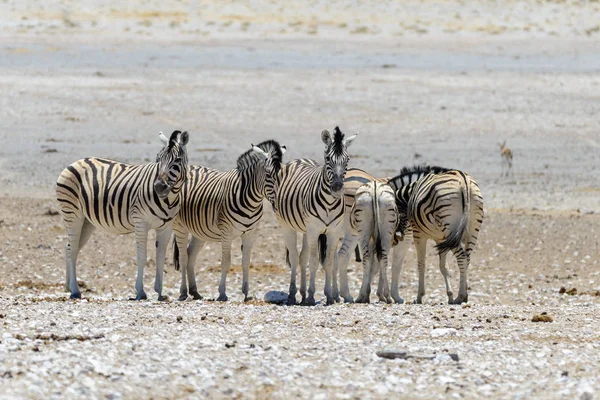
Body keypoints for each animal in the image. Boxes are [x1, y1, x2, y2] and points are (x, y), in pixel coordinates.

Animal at [56, 130, 189, 300]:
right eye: (158, 159)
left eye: (177, 160)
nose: (159, 187)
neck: (169, 199)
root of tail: (76, 162)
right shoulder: (141, 222)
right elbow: (142, 256)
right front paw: (140, 291)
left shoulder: (166, 227)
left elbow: (160, 258)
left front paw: (160, 292)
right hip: (73, 214)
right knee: (72, 249)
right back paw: (75, 290)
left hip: (87, 222)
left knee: (68, 247)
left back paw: (68, 286)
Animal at [172, 140, 288, 300]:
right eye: (268, 174)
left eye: (282, 175)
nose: (278, 204)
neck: (250, 201)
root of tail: (189, 167)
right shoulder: (226, 233)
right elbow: (226, 262)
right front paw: (222, 293)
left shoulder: (251, 233)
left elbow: (246, 262)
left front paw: (246, 292)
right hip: (180, 226)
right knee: (183, 257)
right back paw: (183, 292)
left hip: (199, 230)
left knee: (190, 255)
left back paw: (195, 291)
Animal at [272, 126, 356, 304]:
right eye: (328, 159)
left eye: (347, 160)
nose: (337, 188)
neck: (330, 203)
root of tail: (300, 159)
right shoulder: (314, 230)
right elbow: (314, 261)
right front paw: (311, 295)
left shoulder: (333, 232)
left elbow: (329, 262)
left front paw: (329, 296)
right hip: (287, 226)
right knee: (295, 257)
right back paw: (292, 295)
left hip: (305, 230)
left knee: (302, 257)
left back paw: (302, 294)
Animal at [386, 165, 486, 304]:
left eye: (392, 216)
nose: (396, 239)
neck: (410, 192)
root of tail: (464, 180)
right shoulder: (441, 239)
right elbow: (444, 267)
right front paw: (449, 295)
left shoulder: (419, 234)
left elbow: (421, 264)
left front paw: (419, 296)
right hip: (472, 229)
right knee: (467, 258)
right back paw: (464, 295)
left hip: (450, 228)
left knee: (461, 257)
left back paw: (460, 296)